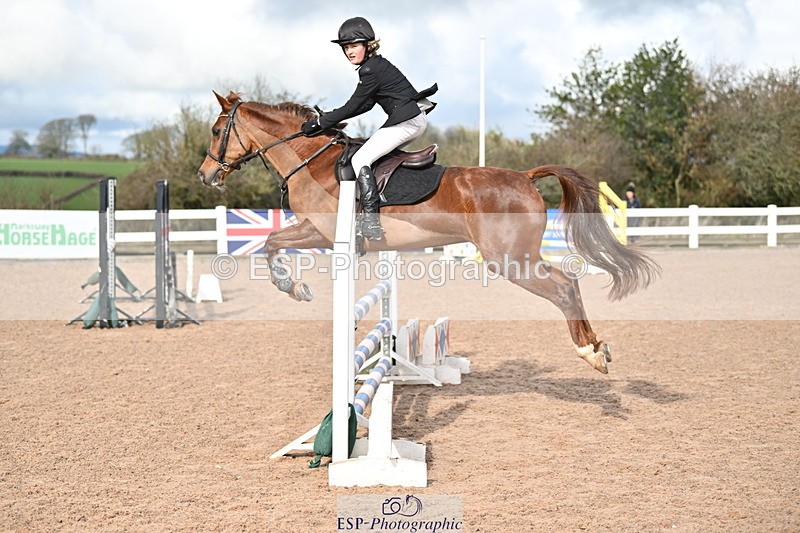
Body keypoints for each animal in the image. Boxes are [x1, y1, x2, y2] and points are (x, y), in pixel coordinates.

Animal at [197, 91, 660, 374]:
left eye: (218, 131)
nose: (205, 176)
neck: (311, 160)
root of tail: (525, 176)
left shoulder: (320, 233)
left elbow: (271, 243)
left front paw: (294, 288)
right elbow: (272, 243)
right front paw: (295, 286)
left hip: (511, 260)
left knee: (564, 285)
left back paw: (590, 352)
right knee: (571, 282)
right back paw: (597, 347)